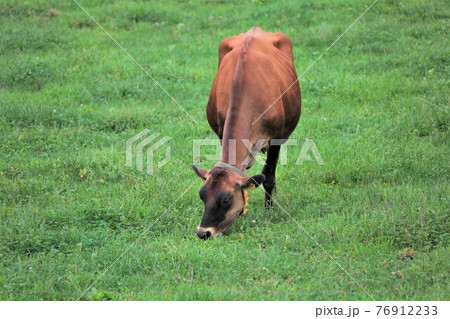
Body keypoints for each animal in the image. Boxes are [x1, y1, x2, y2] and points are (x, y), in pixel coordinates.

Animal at [192, 26, 300, 240]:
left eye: (226, 200)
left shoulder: (276, 137)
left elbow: (268, 176)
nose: (203, 232)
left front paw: (268, 209)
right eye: (202, 195)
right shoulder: (221, 131)